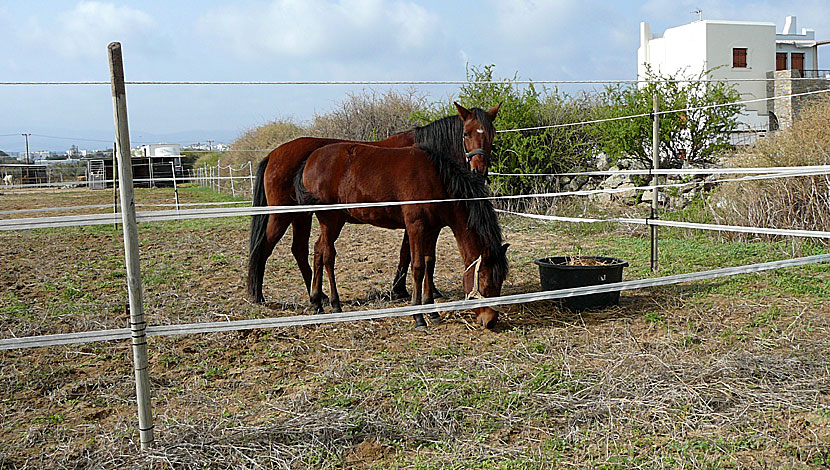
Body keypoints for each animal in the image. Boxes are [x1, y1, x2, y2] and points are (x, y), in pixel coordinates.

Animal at [244, 102, 498, 304]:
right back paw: (258, 294)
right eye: (466, 134)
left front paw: (409, 289)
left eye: (491, 134)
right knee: (264, 246)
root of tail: (274, 154)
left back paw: (318, 295)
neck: (427, 152)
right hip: (283, 215)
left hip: (302, 217)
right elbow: (409, 252)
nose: (479, 171)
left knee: (299, 250)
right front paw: (408, 289)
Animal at [296, 140, 510, 330]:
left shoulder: (433, 229)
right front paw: (418, 317)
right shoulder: (415, 227)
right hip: (330, 219)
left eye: (500, 282)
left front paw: (432, 312)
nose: (490, 321)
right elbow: (418, 267)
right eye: (486, 282)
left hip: (335, 220)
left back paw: (317, 302)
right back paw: (335, 304)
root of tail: (310, 159)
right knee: (328, 255)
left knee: (318, 250)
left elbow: (429, 264)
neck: (436, 179)